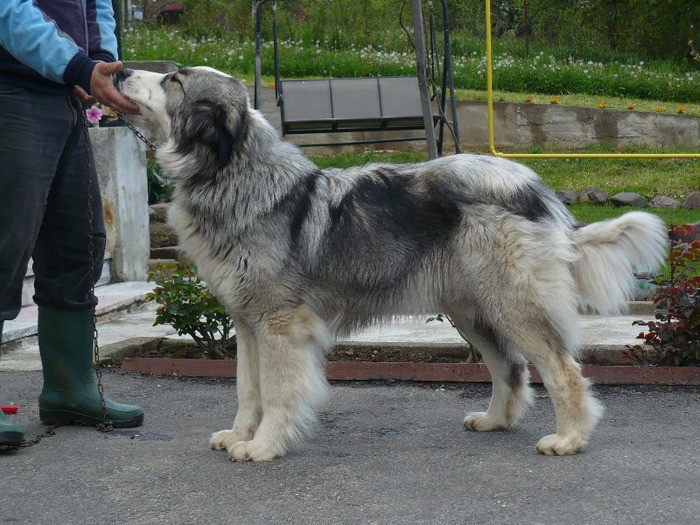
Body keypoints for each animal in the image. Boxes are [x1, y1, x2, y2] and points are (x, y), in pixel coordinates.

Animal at [119, 65, 668, 458]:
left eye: (173, 80)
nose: (119, 68)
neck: (231, 173)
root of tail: (533, 186)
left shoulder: (279, 323)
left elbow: (276, 391)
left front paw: (265, 445)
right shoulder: (247, 322)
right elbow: (247, 389)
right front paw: (239, 435)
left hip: (513, 304)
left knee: (562, 370)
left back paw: (570, 438)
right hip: (472, 311)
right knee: (511, 369)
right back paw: (495, 421)